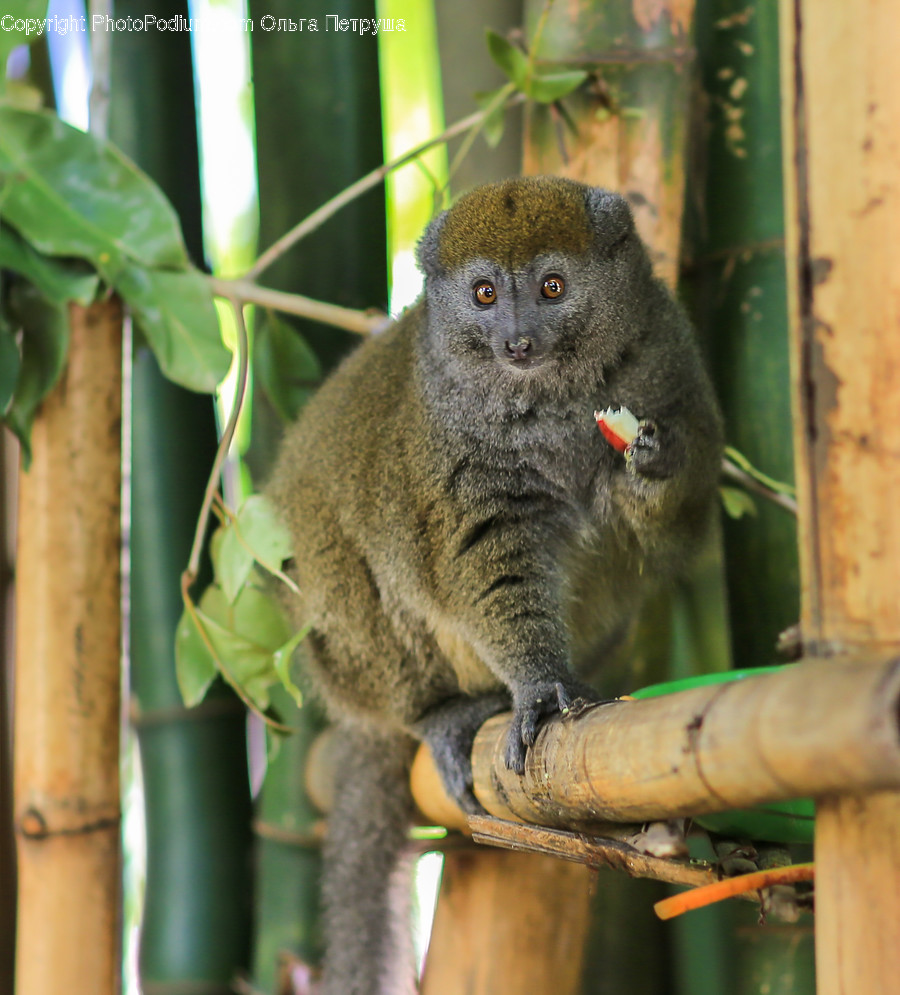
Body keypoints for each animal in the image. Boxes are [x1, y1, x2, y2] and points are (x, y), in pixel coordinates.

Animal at [266, 175, 724, 994]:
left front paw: (654, 463)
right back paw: (445, 710)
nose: (517, 340)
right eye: (483, 294)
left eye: (551, 288)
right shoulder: (455, 445)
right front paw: (539, 686)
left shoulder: (666, 363)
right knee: (346, 574)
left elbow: (672, 526)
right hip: (345, 659)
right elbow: (481, 562)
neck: (555, 399)